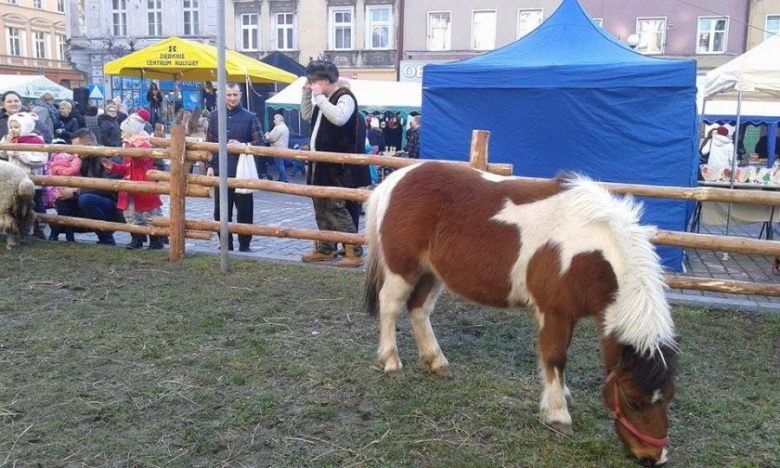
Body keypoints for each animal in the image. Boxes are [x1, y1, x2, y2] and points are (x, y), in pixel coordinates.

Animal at [364, 162, 676, 468]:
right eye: (633, 400)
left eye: (670, 397)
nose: (655, 458)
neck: (586, 247)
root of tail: (394, 179)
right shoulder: (554, 312)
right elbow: (555, 359)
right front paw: (558, 415)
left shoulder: (568, 315)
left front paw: (563, 397)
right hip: (402, 269)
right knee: (389, 306)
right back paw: (391, 363)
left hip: (431, 273)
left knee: (419, 309)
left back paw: (435, 361)